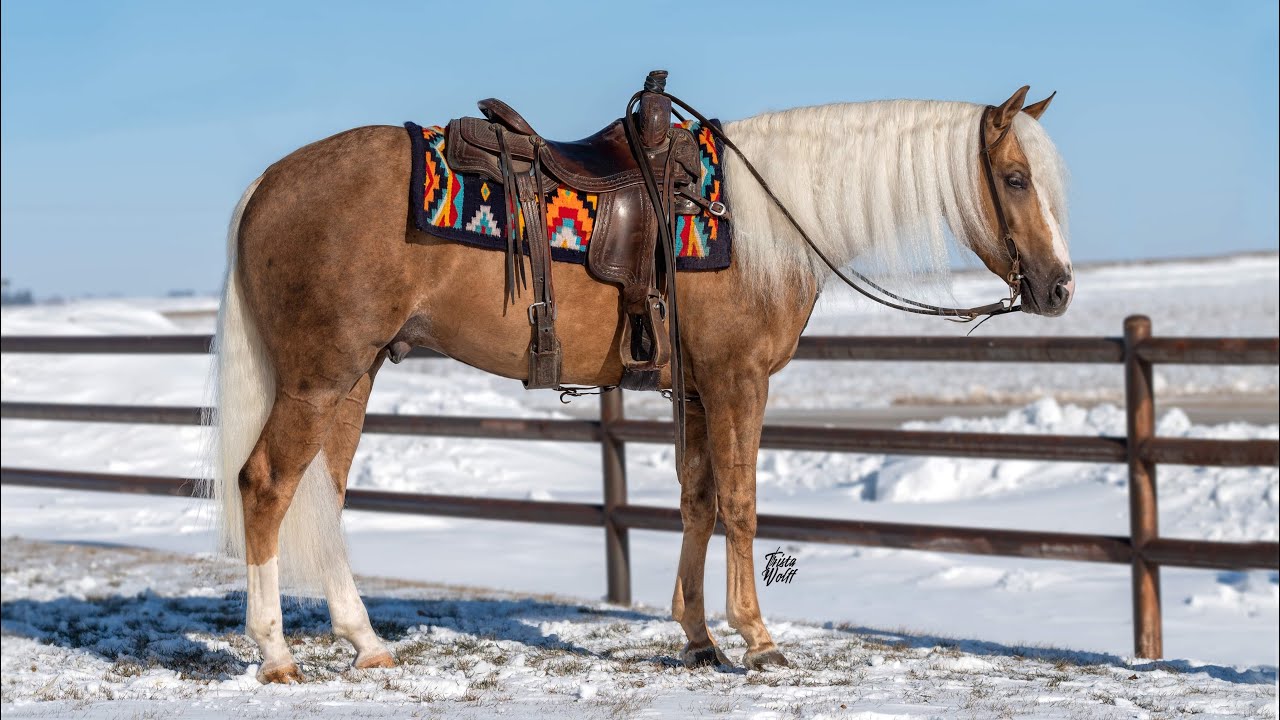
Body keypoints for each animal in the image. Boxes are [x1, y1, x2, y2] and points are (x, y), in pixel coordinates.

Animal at [210, 84, 1072, 683]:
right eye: (1014, 177)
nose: (1059, 287)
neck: (763, 222)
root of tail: (268, 185)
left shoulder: (693, 389)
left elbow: (696, 504)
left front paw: (697, 638)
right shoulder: (738, 381)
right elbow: (740, 505)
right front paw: (758, 641)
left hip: (353, 375)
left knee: (322, 493)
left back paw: (366, 643)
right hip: (319, 377)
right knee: (267, 483)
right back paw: (276, 654)